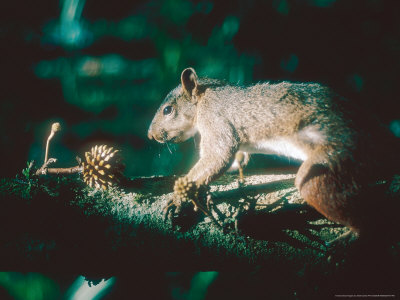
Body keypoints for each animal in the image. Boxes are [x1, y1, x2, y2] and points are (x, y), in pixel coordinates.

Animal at [148, 67, 398, 236]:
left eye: (168, 110)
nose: (150, 135)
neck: (203, 100)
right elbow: (231, 163)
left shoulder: (215, 118)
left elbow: (218, 155)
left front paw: (178, 199)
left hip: (333, 159)